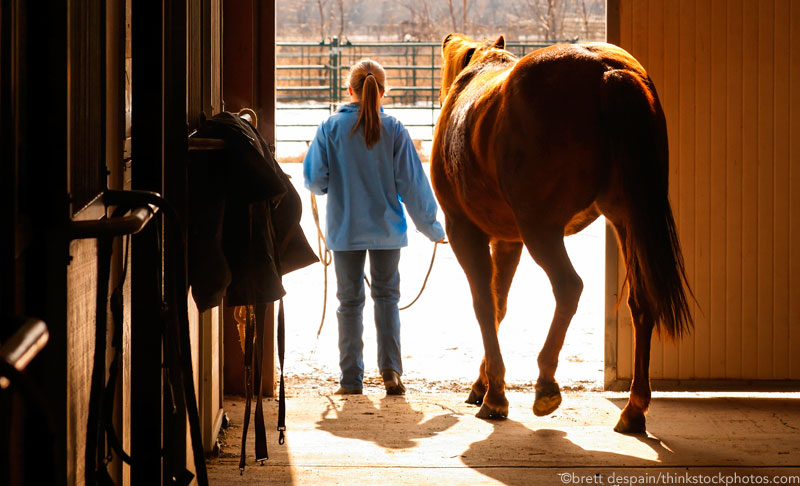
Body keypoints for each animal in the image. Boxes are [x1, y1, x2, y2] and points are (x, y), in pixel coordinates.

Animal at [432, 35, 692, 432]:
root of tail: (605, 70)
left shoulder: (465, 231)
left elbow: (484, 305)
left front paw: (495, 396)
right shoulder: (508, 241)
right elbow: (499, 305)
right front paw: (484, 384)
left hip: (543, 230)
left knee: (569, 287)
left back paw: (546, 385)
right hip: (627, 220)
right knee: (642, 302)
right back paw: (633, 409)